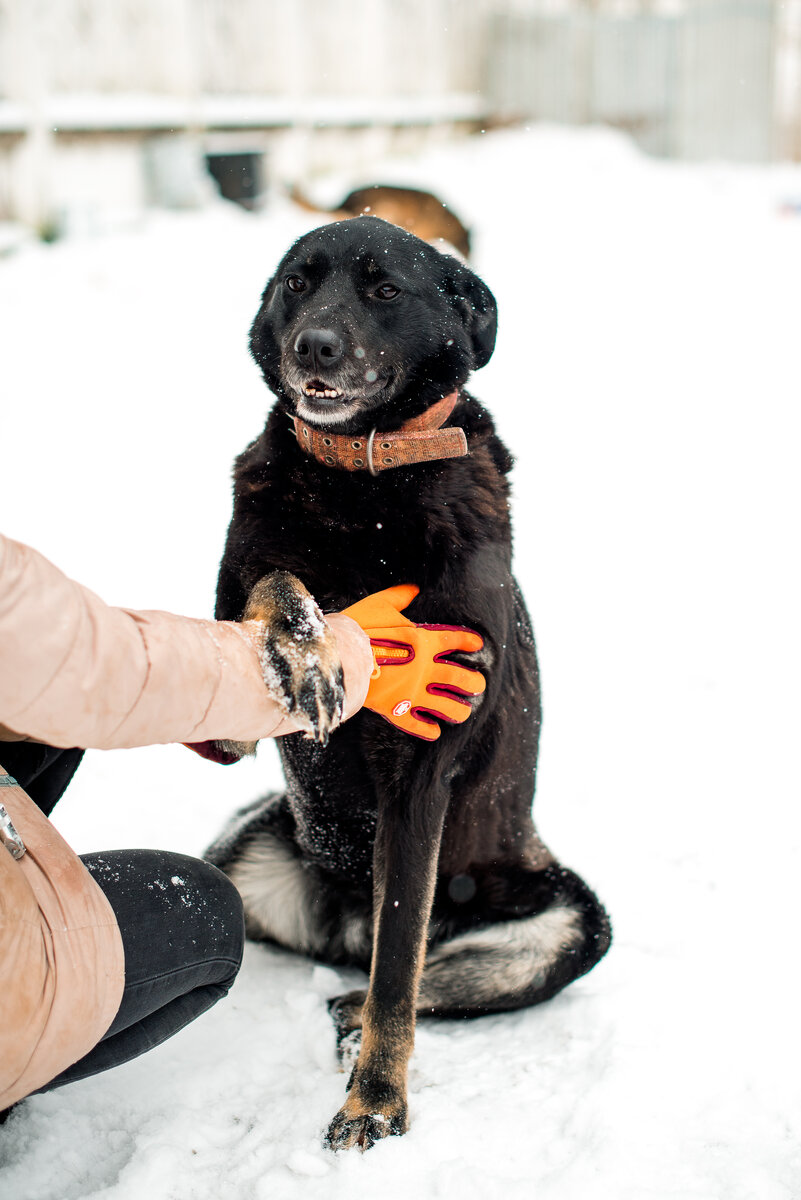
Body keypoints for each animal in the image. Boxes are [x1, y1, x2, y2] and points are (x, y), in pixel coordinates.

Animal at [205, 218, 606, 1152]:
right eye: (297, 282)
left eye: (384, 289)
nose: (313, 344)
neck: (363, 478)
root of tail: (340, 931)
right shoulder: (229, 687)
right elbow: (276, 580)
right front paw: (315, 649)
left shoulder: (421, 777)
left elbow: (400, 978)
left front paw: (374, 1104)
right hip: (237, 860)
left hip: (569, 920)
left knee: (411, 970)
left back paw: (354, 1020)